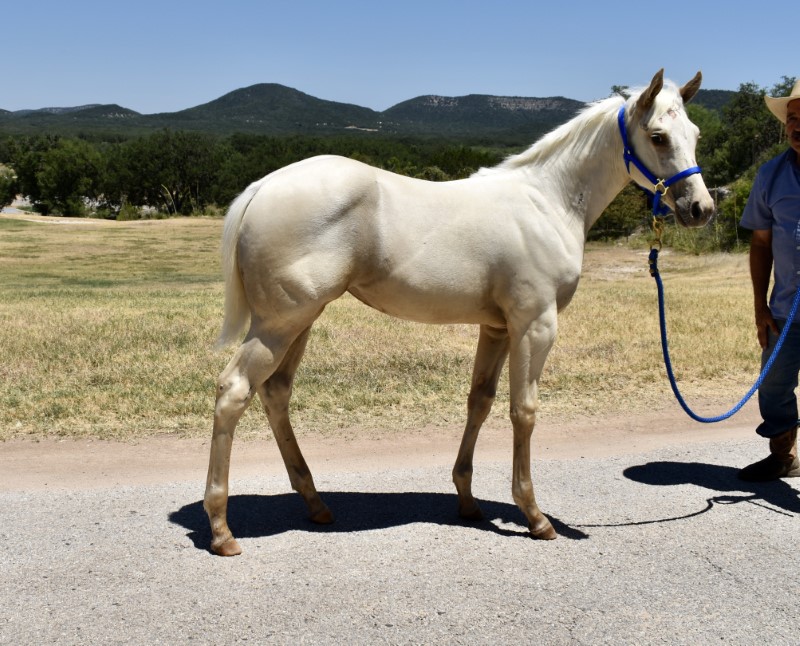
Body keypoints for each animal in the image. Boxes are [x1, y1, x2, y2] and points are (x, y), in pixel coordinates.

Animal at [205, 69, 712, 556]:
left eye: (695, 133)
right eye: (658, 136)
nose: (700, 208)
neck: (546, 202)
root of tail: (263, 186)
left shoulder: (497, 328)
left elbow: (479, 402)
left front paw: (467, 500)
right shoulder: (535, 325)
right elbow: (523, 411)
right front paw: (535, 516)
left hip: (300, 323)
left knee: (275, 393)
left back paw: (314, 503)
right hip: (280, 324)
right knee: (234, 391)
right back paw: (221, 529)